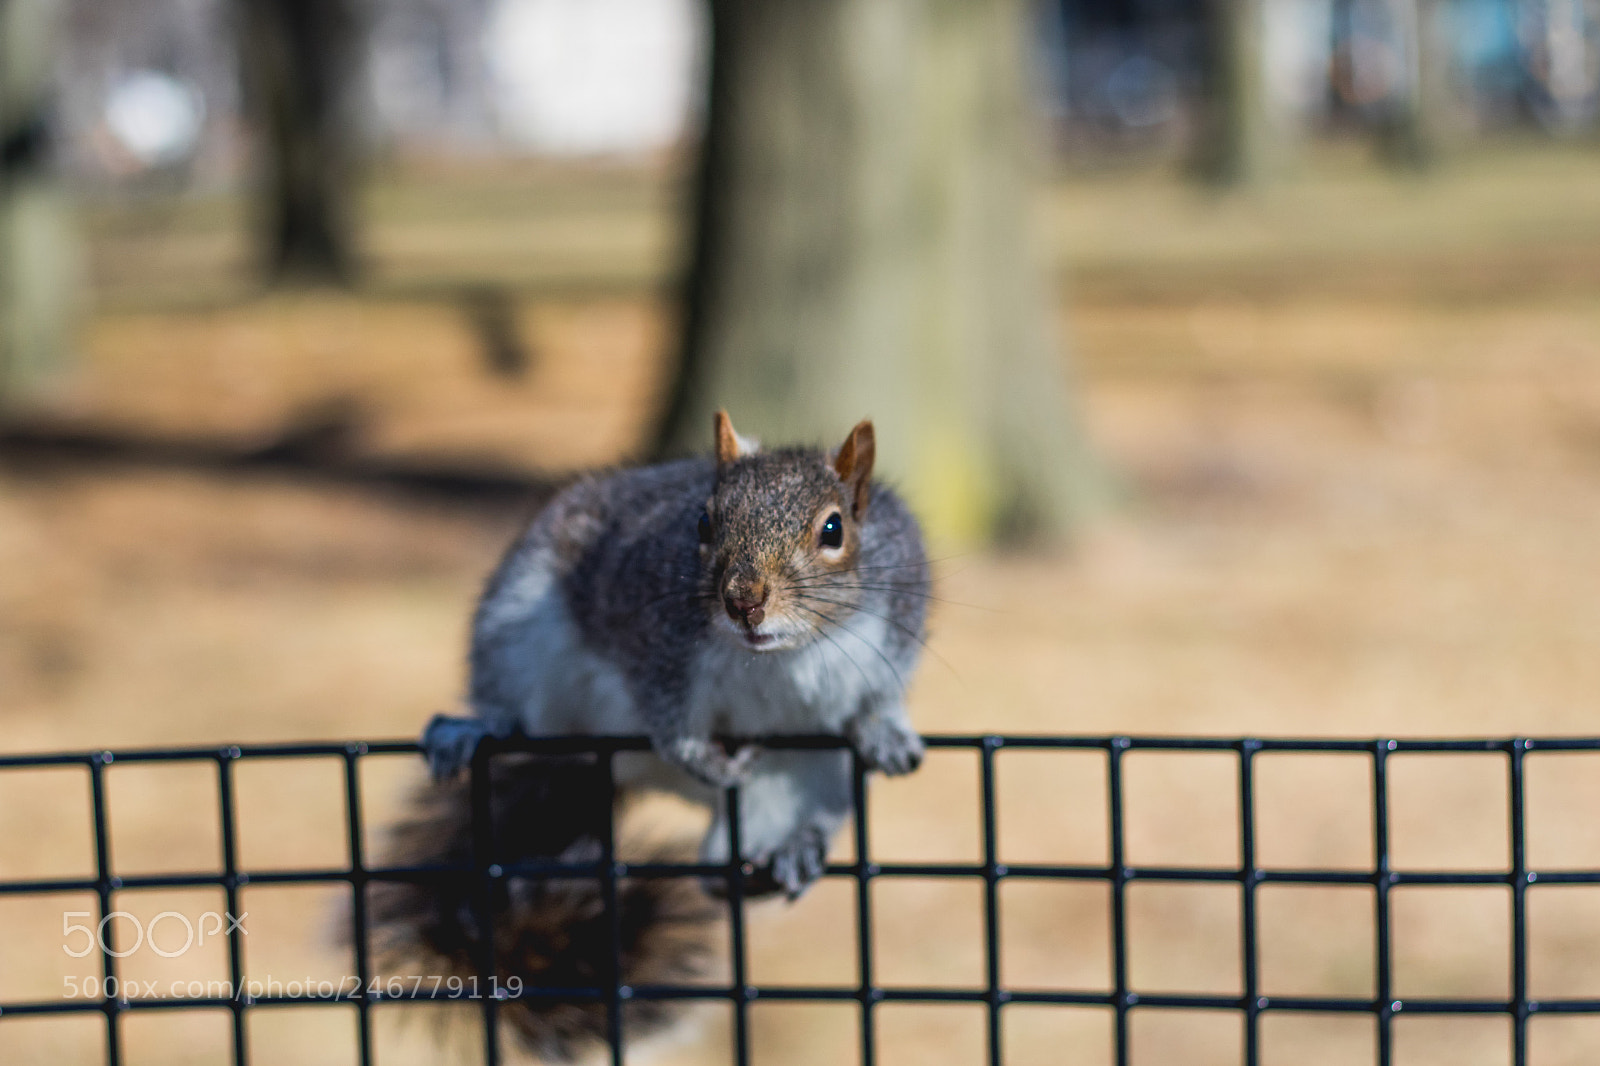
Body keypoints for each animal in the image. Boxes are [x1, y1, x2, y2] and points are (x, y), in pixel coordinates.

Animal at [368, 411, 930, 1061]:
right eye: (704, 522)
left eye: (834, 530)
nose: (743, 602)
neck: (775, 656)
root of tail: (617, 769)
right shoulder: (655, 649)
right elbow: (668, 720)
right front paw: (699, 756)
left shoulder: (895, 626)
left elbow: (879, 696)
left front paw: (884, 730)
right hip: (517, 623)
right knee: (514, 707)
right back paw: (475, 727)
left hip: (806, 774)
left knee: (731, 863)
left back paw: (789, 851)